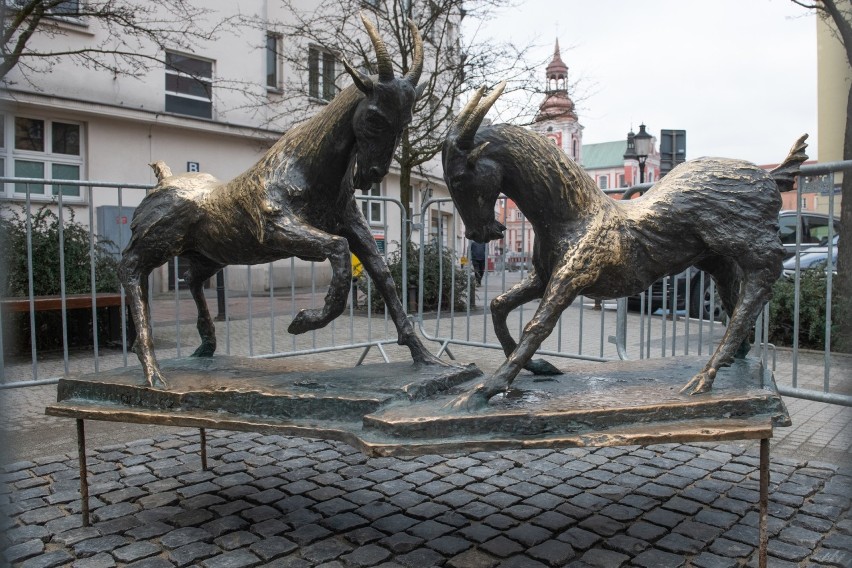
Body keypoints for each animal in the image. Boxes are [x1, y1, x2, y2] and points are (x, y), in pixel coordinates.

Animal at [121, 13, 446, 388]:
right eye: (374, 115)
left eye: (406, 121)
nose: (373, 174)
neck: (310, 168)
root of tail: (163, 178)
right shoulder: (278, 230)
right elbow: (337, 250)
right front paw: (303, 320)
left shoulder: (355, 230)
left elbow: (384, 278)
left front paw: (427, 357)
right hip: (157, 241)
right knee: (130, 269)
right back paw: (151, 368)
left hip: (211, 254)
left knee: (192, 280)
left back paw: (206, 344)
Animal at [442, 82, 808, 410]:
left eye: (459, 178)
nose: (479, 233)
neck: (574, 214)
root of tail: (769, 176)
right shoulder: (543, 277)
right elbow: (499, 306)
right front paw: (540, 366)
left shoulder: (570, 280)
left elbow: (537, 326)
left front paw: (483, 390)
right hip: (717, 259)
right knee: (736, 298)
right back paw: (736, 355)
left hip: (748, 241)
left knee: (759, 286)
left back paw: (706, 375)